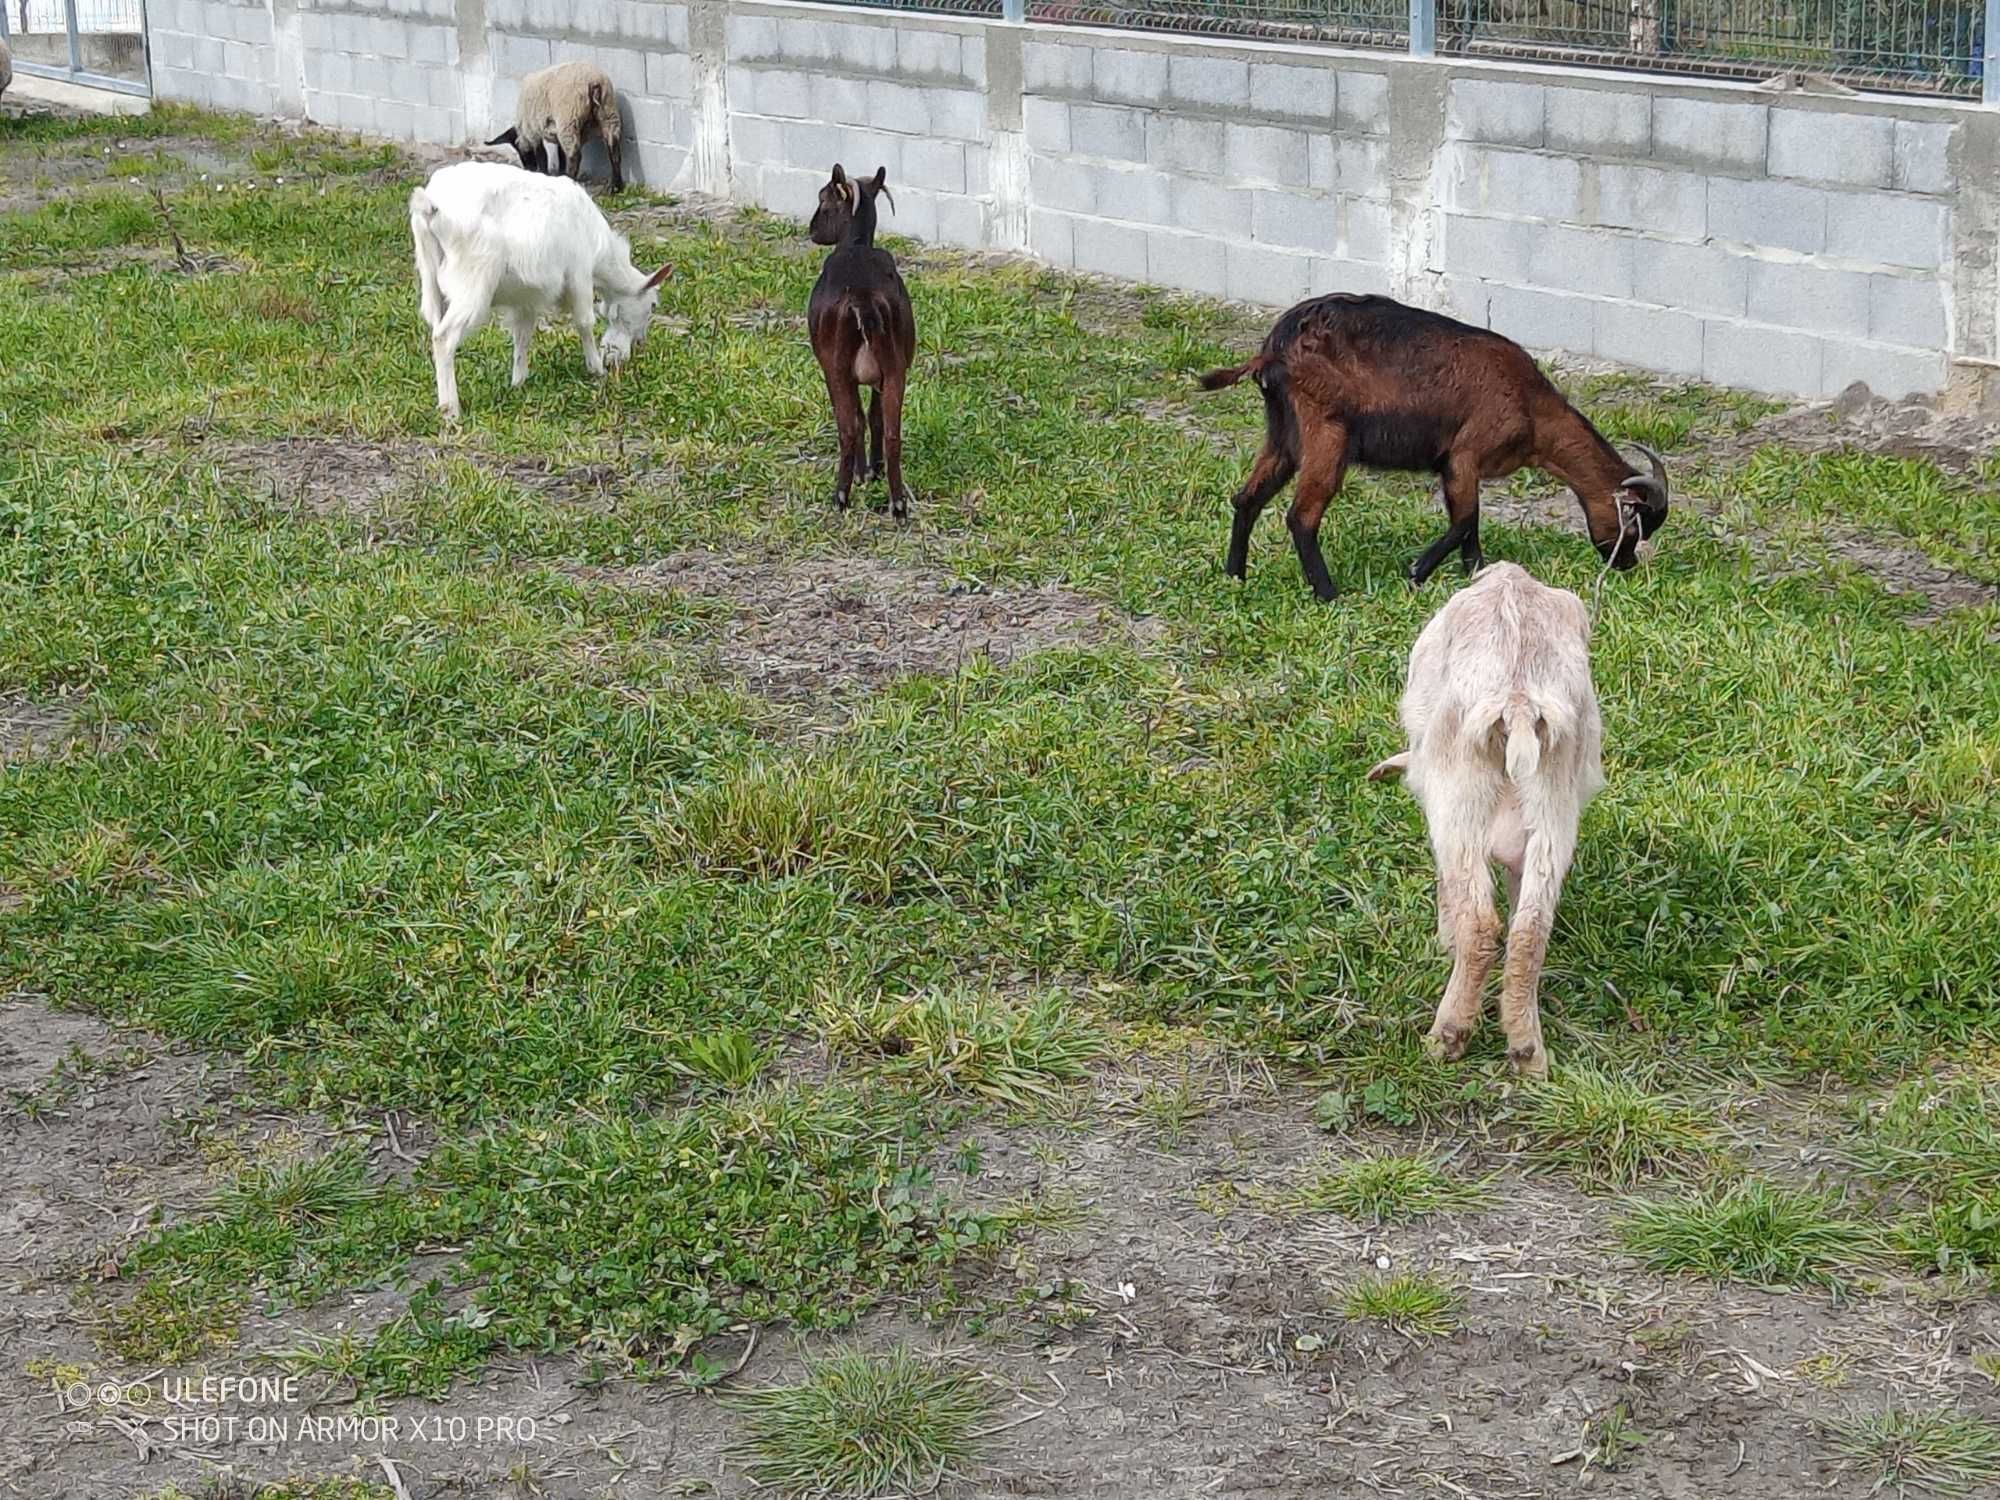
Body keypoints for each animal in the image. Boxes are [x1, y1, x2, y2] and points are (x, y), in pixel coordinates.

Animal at [408, 161, 672, 420]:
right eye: (652, 305)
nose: (640, 342)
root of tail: (431, 206)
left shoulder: (525, 298)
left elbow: (523, 335)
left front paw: (518, 382)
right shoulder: (579, 272)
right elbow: (584, 322)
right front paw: (597, 370)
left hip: (431, 276)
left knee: (435, 327)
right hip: (473, 279)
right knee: (444, 337)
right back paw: (451, 411)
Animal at [488, 61, 620, 194]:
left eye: (519, 151)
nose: (528, 168)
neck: (523, 131)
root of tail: (593, 81)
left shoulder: (534, 131)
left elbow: (542, 155)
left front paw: (543, 173)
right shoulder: (553, 131)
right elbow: (560, 153)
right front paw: (559, 172)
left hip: (569, 118)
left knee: (574, 155)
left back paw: (569, 180)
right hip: (608, 113)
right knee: (614, 150)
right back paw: (616, 187)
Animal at [804, 164, 916, 524]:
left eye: (823, 198)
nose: (812, 229)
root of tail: (863, 299)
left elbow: (856, 417)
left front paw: (861, 472)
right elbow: (874, 416)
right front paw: (873, 470)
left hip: (837, 366)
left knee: (848, 428)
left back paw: (841, 496)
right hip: (895, 366)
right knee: (893, 432)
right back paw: (898, 504)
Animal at [1192, 294, 1664, 600]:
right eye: (1636, 524)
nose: (1625, 564)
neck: (1532, 408)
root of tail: (1275, 348)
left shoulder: (1458, 467)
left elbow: (1471, 523)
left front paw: (1477, 572)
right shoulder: (1464, 455)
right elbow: (1465, 520)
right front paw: (1418, 571)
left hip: (1284, 434)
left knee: (1247, 497)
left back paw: (1235, 575)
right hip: (1325, 431)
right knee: (1301, 515)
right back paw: (1328, 593)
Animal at [1360, 568, 1608, 1080]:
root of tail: (1517, 703)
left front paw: (1444, 939)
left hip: (1459, 806)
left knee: (1479, 924)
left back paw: (1447, 1037)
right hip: (1552, 814)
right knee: (1530, 928)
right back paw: (1527, 1052)